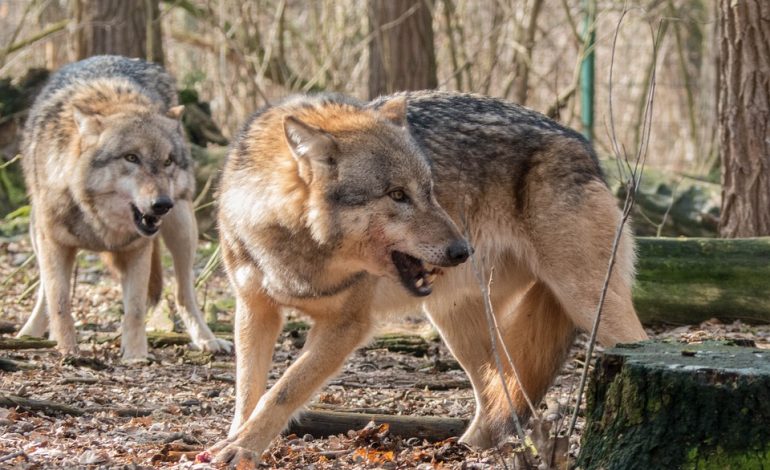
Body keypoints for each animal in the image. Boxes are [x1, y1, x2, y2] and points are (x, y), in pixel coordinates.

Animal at [16, 55, 230, 360]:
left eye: (167, 161)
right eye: (131, 158)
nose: (162, 204)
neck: (98, 221)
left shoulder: (138, 249)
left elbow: (136, 309)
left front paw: (135, 356)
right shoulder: (54, 244)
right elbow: (59, 302)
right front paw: (68, 350)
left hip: (183, 229)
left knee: (183, 293)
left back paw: (206, 339)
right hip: (37, 234)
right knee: (44, 291)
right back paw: (30, 334)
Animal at [212, 89, 648, 462]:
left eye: (430, 189)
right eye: (397, 195)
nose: (462, 250)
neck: (297, 247)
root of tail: (582, 145)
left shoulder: (347, 325)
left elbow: (283, 391)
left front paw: (242, 449)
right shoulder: (254, 310)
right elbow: (248, 391)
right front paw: (235, 440)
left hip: (590, 305)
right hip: (456, 322)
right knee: (497, 394)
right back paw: (466, 450)